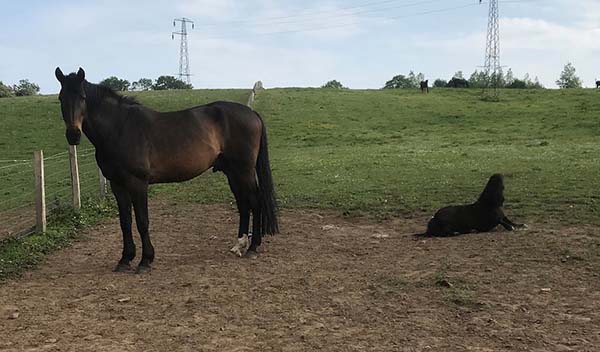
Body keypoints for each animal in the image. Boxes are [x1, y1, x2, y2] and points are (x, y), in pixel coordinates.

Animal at [54, 68, 278, 272]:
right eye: (61, 98)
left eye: (82, 97)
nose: (73, 135)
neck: (119, 128)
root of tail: (252, 113)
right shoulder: (117, 184)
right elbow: (125, 222)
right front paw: (125, 259)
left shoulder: (138, 183)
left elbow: (142, 221)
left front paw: (145, 260)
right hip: (232, 172)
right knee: (243, 204)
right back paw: (239, 245)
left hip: (244, 171)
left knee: (255, 202)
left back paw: (253, 247)